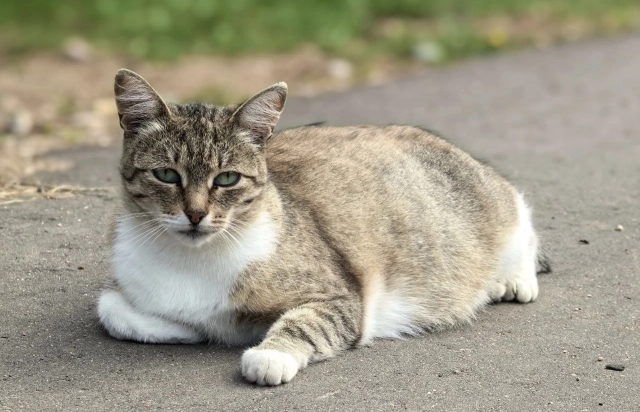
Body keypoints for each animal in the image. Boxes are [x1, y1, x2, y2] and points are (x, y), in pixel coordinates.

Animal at [97, 68, 544, 386]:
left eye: (227, 179)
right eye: (166, 175)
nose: (195, 214)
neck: (192, 259)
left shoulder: (343, 297)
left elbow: (306, 323)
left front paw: (270, 354)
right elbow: (112, 311)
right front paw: (189, 328)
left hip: (494, 207)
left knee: (523, 219)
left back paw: (512, 279)